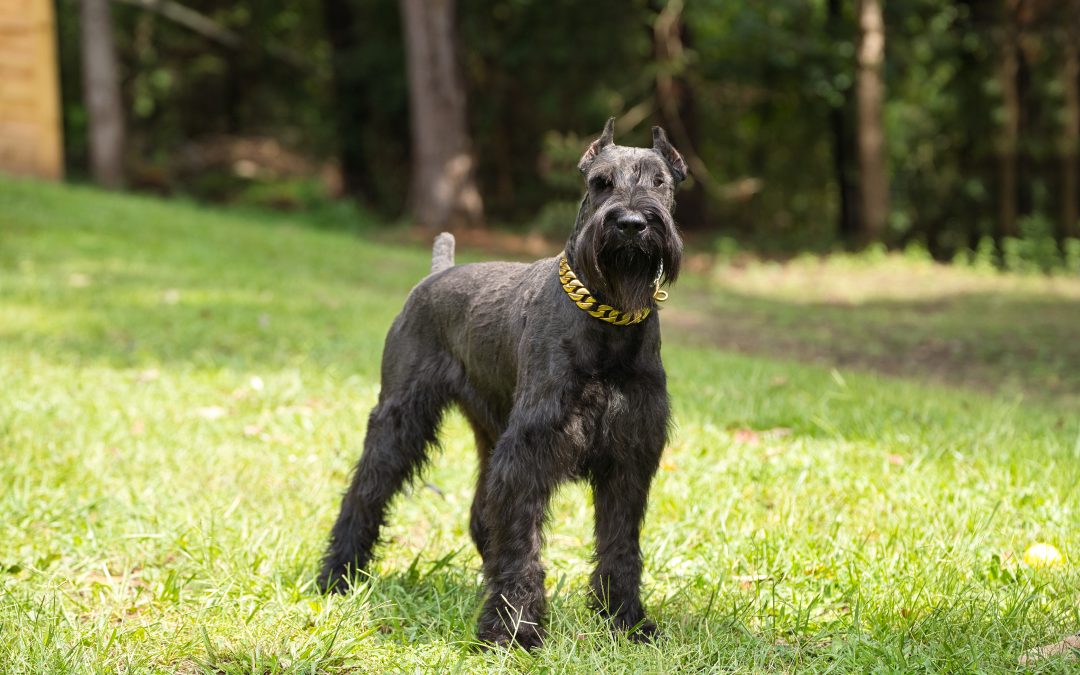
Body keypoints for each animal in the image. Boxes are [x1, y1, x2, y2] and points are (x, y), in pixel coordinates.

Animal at [317, 119, 682, 648]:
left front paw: (625, 620)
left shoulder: (630, 455)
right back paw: (337, 576)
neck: (608, 317)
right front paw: (514, 628)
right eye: (601, 183)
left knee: (479, 515)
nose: (632, 223)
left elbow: (620, 545)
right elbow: (521, 543)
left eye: (660, 182)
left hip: (487, 429)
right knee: (365, 491)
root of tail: (438, 273)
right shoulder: (528, 453)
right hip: (399, 418)